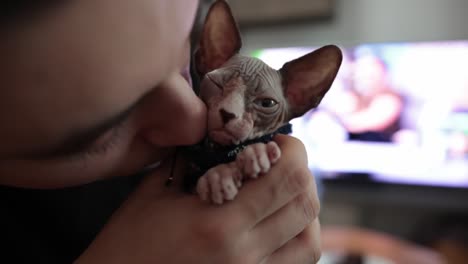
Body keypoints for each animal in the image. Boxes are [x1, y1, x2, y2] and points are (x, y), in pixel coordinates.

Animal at [188, 0, 342, 205]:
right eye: (216, 83)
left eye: (267, 103)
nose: (227, 113)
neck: (223, 151)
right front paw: (218, 177)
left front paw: (255, 153)